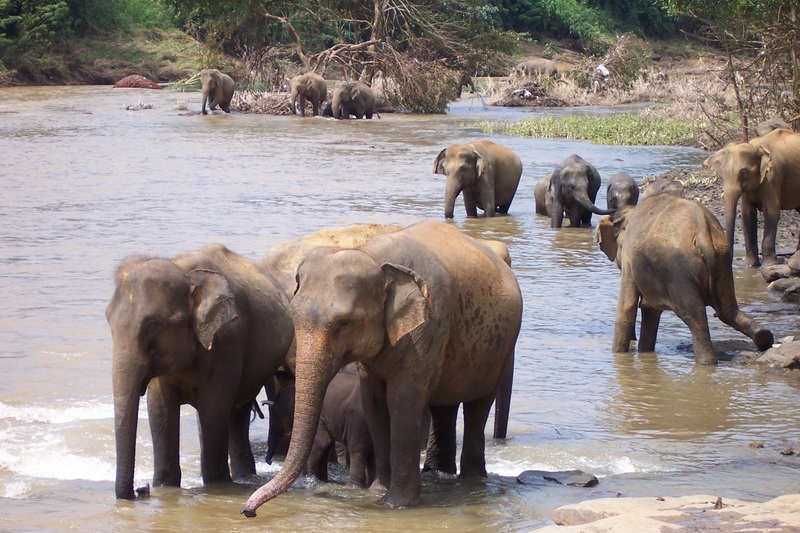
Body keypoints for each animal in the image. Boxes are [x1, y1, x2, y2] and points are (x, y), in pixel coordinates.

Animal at [104, 244, 294, 498]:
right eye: (108, 319)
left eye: (153, 325)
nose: (140, 490)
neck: (183, 272)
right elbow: (161, 411)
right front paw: (164, 486)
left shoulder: (228, 340)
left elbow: (213, 409)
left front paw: (215, 486)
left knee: (237, 411)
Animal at [241, 220, 520, 516]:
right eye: (292, 316)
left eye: (344, 323)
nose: (248, 511)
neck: (373, 257)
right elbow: (374, 403)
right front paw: (378, 491)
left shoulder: (430, 325)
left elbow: (403, 401)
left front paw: (397, 504)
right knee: (446, 408)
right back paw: (440, 475)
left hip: (499, 349)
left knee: (478, 407)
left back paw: (472, 482)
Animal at [592, 193, 776, 364]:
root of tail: (702, 231)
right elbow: (650, 309)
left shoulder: (630, 258)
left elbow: (627, 306)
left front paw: (617, 355)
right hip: (722, 258)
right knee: (728, 310)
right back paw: (763, 337)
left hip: (677, 269)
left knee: (693, 316)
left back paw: (707, 362)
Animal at [704, 127, 800, 268]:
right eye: (723, 173)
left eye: (744, 172)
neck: (755, 147)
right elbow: (747, 215)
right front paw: (750, 265)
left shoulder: (773, 177)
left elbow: (771, 214)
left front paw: (769, 265)